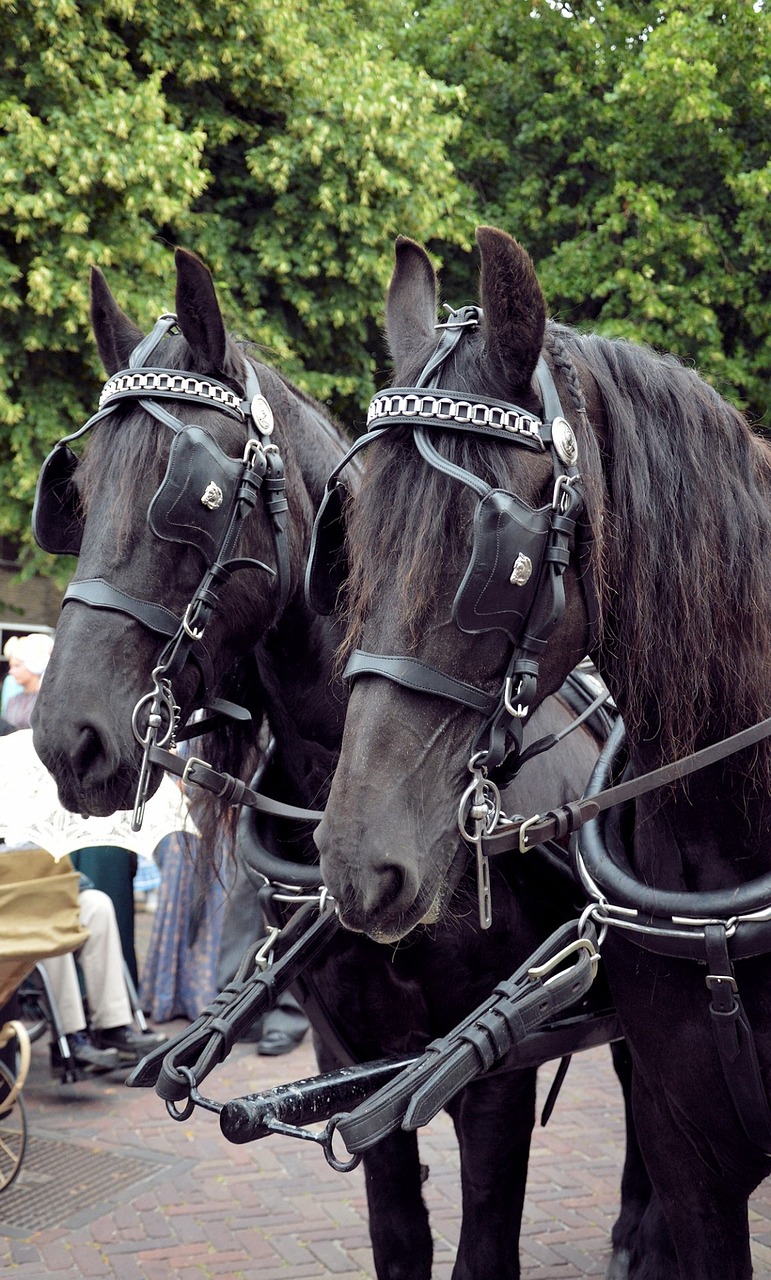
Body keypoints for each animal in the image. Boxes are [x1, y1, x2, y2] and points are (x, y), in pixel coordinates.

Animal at [30, 249, 635, 1280]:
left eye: (196, 497)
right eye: (77, 489)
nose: (66, 739)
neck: (334, 783)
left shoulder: (487, 1067)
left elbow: (482, 1242)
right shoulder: (342, 1043)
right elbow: (397, 1233)